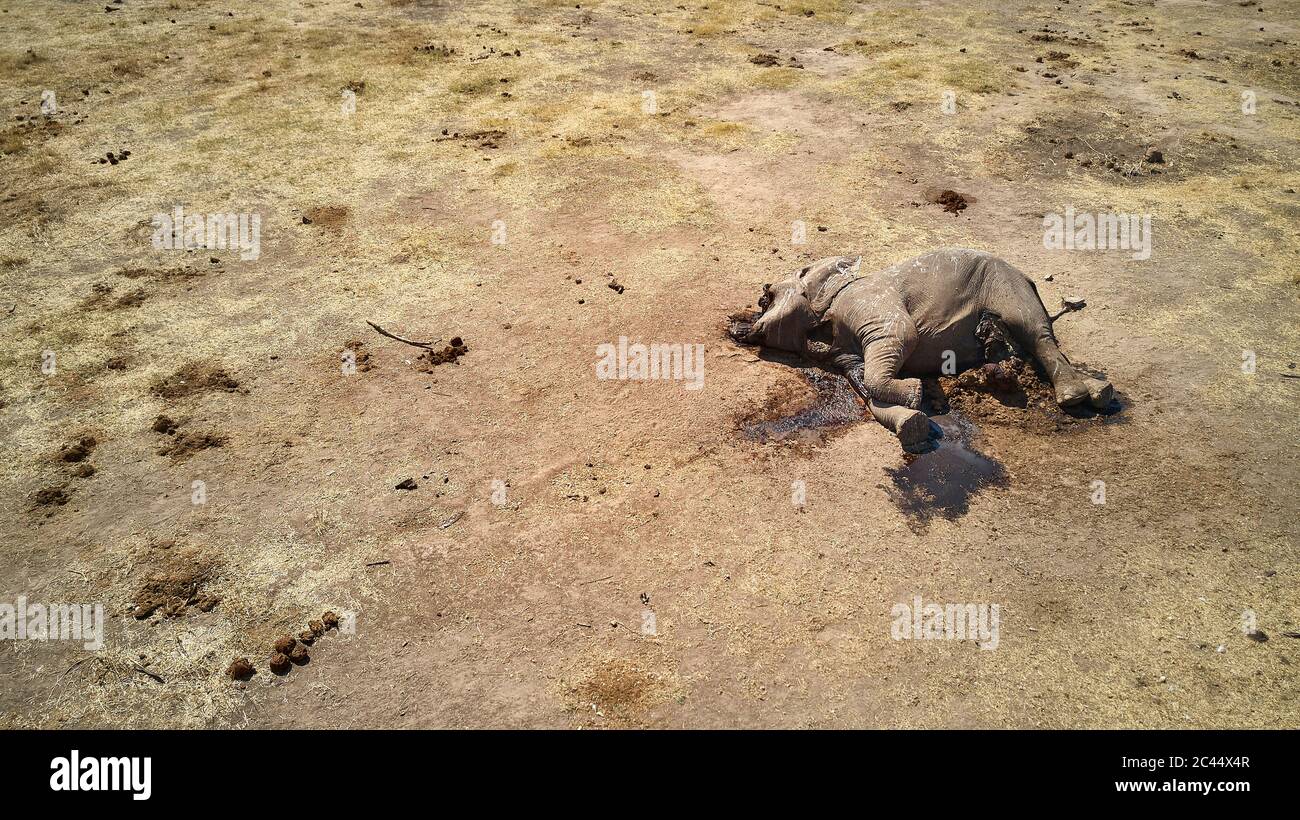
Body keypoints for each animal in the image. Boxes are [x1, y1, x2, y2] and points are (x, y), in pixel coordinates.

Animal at [733, 248, 1118, 447]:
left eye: (765, 299)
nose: (735, 327)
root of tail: (1028, 277)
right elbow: (863, 384)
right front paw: (915, 421)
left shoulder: (867, 303)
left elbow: (897, 341)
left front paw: (918, 392)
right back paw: (1099, 392)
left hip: (1007, 284)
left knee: (1037, 334)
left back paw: (1075, 398)